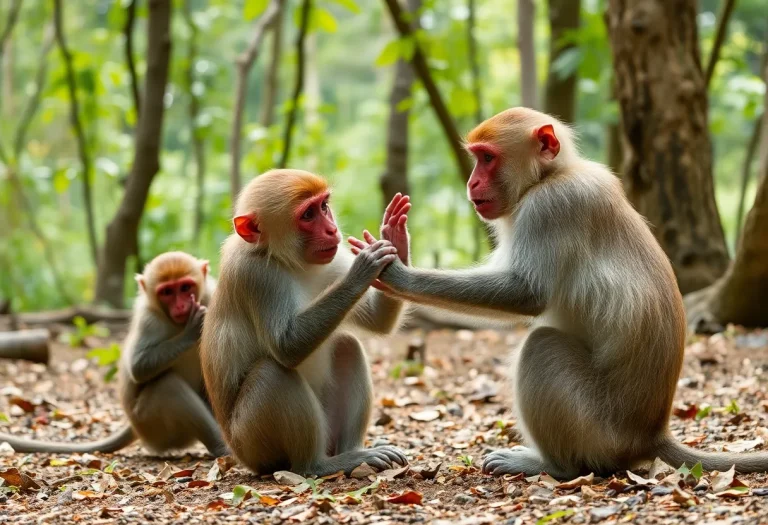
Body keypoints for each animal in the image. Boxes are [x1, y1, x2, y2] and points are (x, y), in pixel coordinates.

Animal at [0, 251, 226, 454]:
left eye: (185, 287)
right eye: (167, 292)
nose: (181, 305)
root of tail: (135, 428)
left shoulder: (212, 295)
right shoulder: (148, 319)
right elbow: (138, 367)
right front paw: (192, 329)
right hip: (151, 423)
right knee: (168, 387)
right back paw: (220, 447)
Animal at [201, 168, 412, 474]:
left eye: (323, 206)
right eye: (308, 215)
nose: (332, 230)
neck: (290, 261)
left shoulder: (332, 261)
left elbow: (378, 320)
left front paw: (395, 238)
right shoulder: (256, 275)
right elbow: (286, 347)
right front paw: (363, 267)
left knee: (347, 346)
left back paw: (353, 452)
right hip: (252, 444)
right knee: (272, 373)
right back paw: (317, 465)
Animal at [356, 108, 768, 476]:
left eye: (487, 158)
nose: (471, 184)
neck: (551, 174)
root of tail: (650, 435)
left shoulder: (550, 206)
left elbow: (526, 294)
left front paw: (398, 275)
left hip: (598, 429)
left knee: (542, 346)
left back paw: (551, 466)